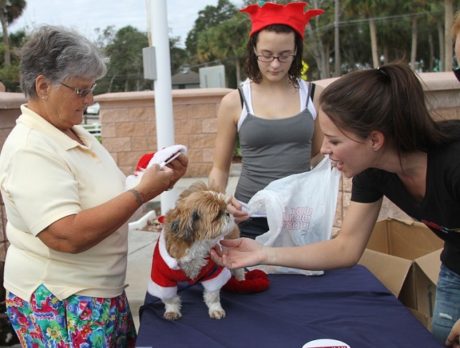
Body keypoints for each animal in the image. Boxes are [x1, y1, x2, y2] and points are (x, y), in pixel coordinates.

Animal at [147, 182, 244, 320]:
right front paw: (172, 310)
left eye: (225, 208)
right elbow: (169, 297)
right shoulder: (162, 276)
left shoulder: (213, 272)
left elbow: (212, 295)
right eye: (217, 215)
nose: (228, 213)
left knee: (238, 269)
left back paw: (240, 279)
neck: (196, 244)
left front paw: (215, 308)